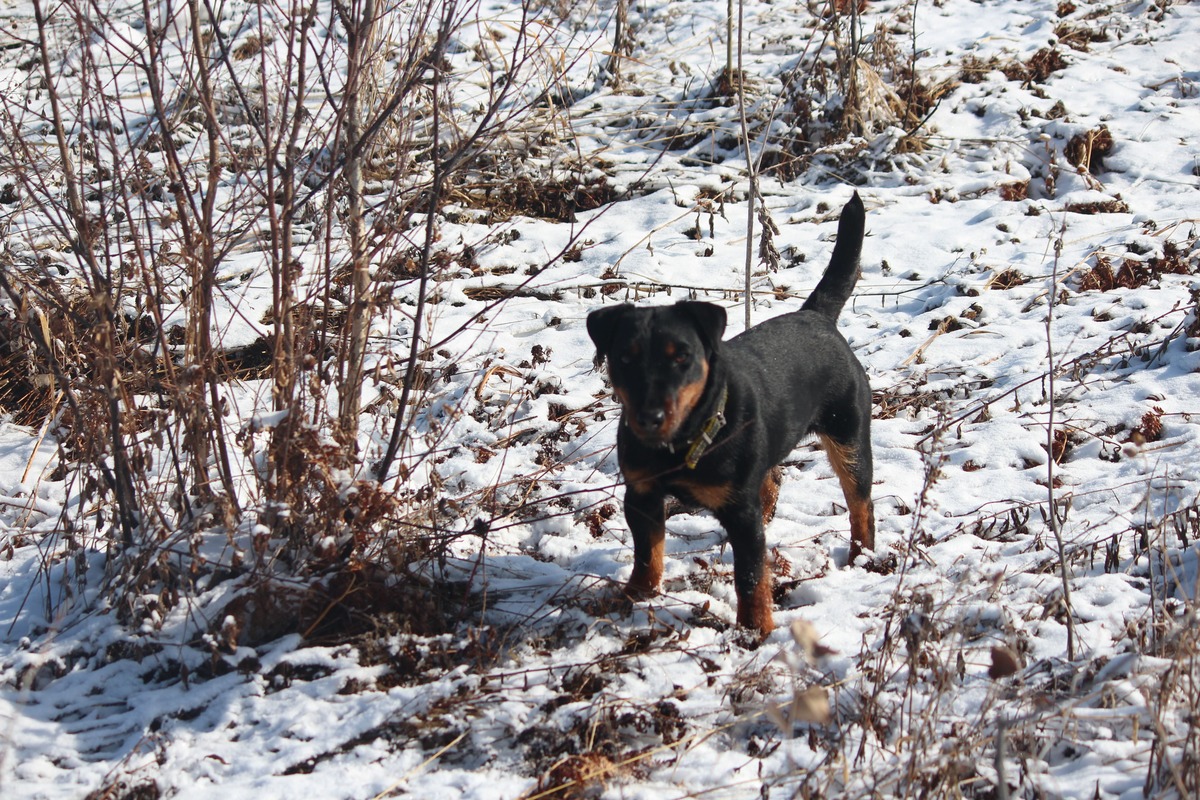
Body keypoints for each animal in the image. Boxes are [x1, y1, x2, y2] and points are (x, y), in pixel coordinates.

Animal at [588, 190, 878, 633]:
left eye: (682, 357)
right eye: (624, 358)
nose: (650, 416)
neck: (682, 442)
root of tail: (816, 315)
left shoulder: (740, 515)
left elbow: (751, 574)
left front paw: (755, 628)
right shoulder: (641, 495)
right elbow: (646, 553)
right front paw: (636, 596)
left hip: (849, 434)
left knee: (861, 503)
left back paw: (863, 556)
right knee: (772, 479)